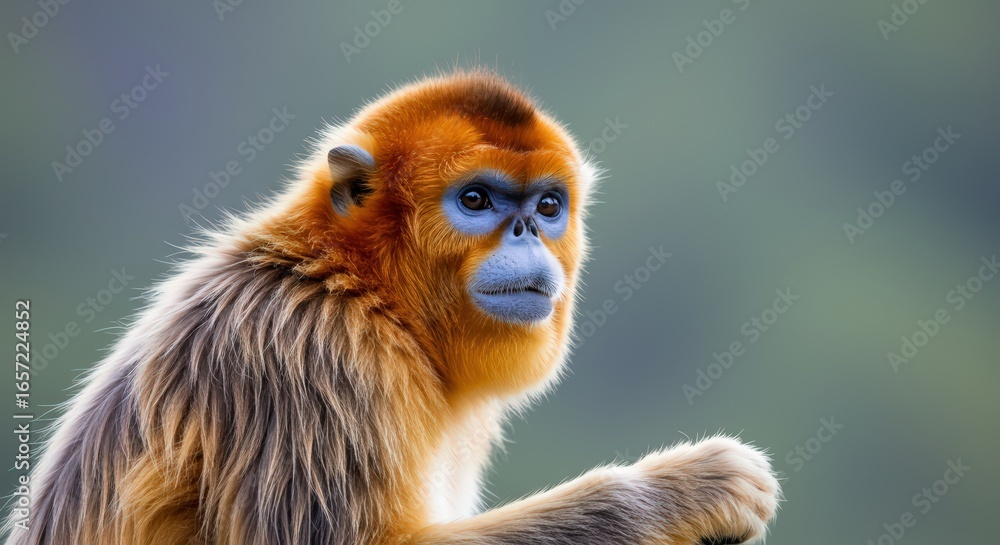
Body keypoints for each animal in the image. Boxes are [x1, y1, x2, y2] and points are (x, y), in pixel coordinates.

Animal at [5, 69, 779, 545]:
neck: (361, 287)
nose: (528, 231)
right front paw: (681, 490)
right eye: (477, 200)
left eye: (547, 206)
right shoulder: (308, 354)